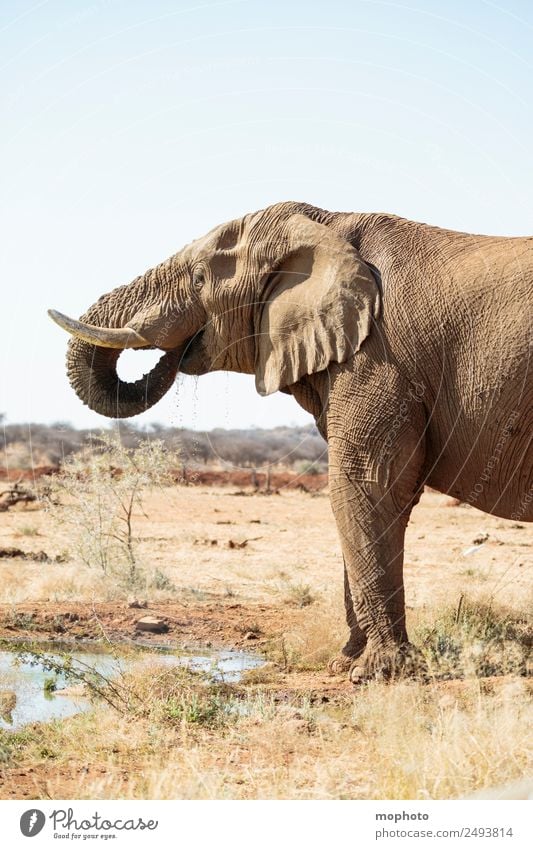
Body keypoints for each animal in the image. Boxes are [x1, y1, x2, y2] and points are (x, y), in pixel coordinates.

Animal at [47, 200, 528, 684]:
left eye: (200, 279)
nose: (176, 350)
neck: (328, 224)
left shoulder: (380, 358)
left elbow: (365, 486)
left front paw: (374, 674)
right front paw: (344, 663)